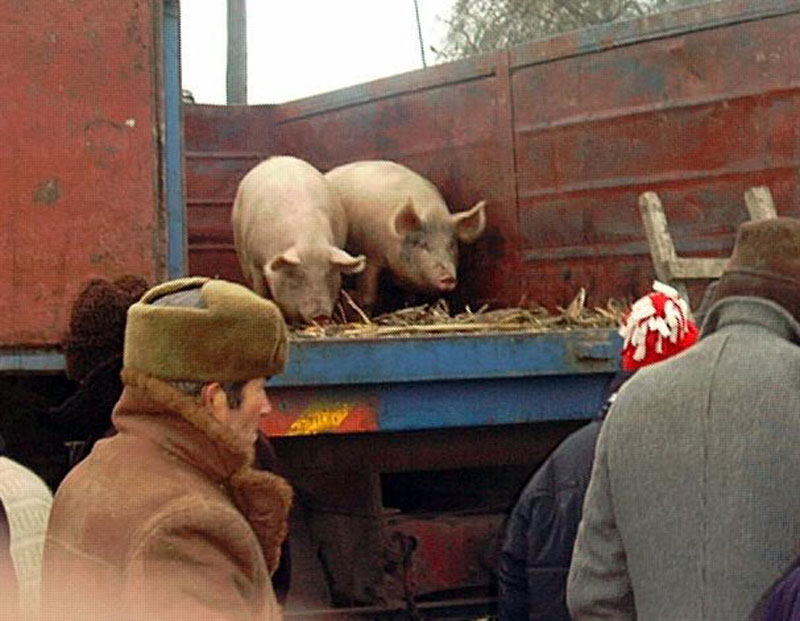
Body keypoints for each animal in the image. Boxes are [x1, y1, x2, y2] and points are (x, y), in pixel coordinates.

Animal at [231, 156, 366, 324]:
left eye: (328, 274)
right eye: (297, 276)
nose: (321, 316)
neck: (309, 241)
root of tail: (278, 158)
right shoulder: (254, 262)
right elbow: (261, 290)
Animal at [324, 160, 486, 311]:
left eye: (451, 244)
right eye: (422, 244)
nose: (448, 278)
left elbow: (410, 298)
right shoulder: (370, 254)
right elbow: (368, 296)